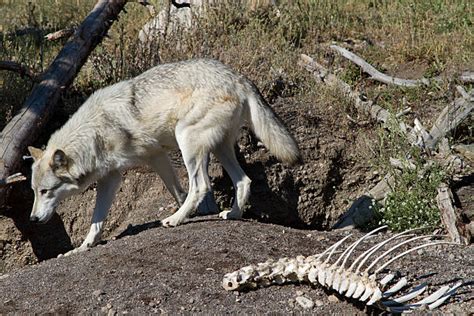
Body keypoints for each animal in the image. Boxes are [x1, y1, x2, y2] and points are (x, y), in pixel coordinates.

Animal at [27, 58, 300, 256]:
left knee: (201, 185)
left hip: (188, 142)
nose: (33, 219)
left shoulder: (150, 158)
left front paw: (188, 213)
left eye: (45, 191)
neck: (95, 131)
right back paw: (232, 214)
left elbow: (181, 191)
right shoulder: (115, 175)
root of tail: (238, 77)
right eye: (34, 192)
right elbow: (97, 219)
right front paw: (84, 247)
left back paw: (175, 219)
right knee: (243, 181)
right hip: (219, 149)